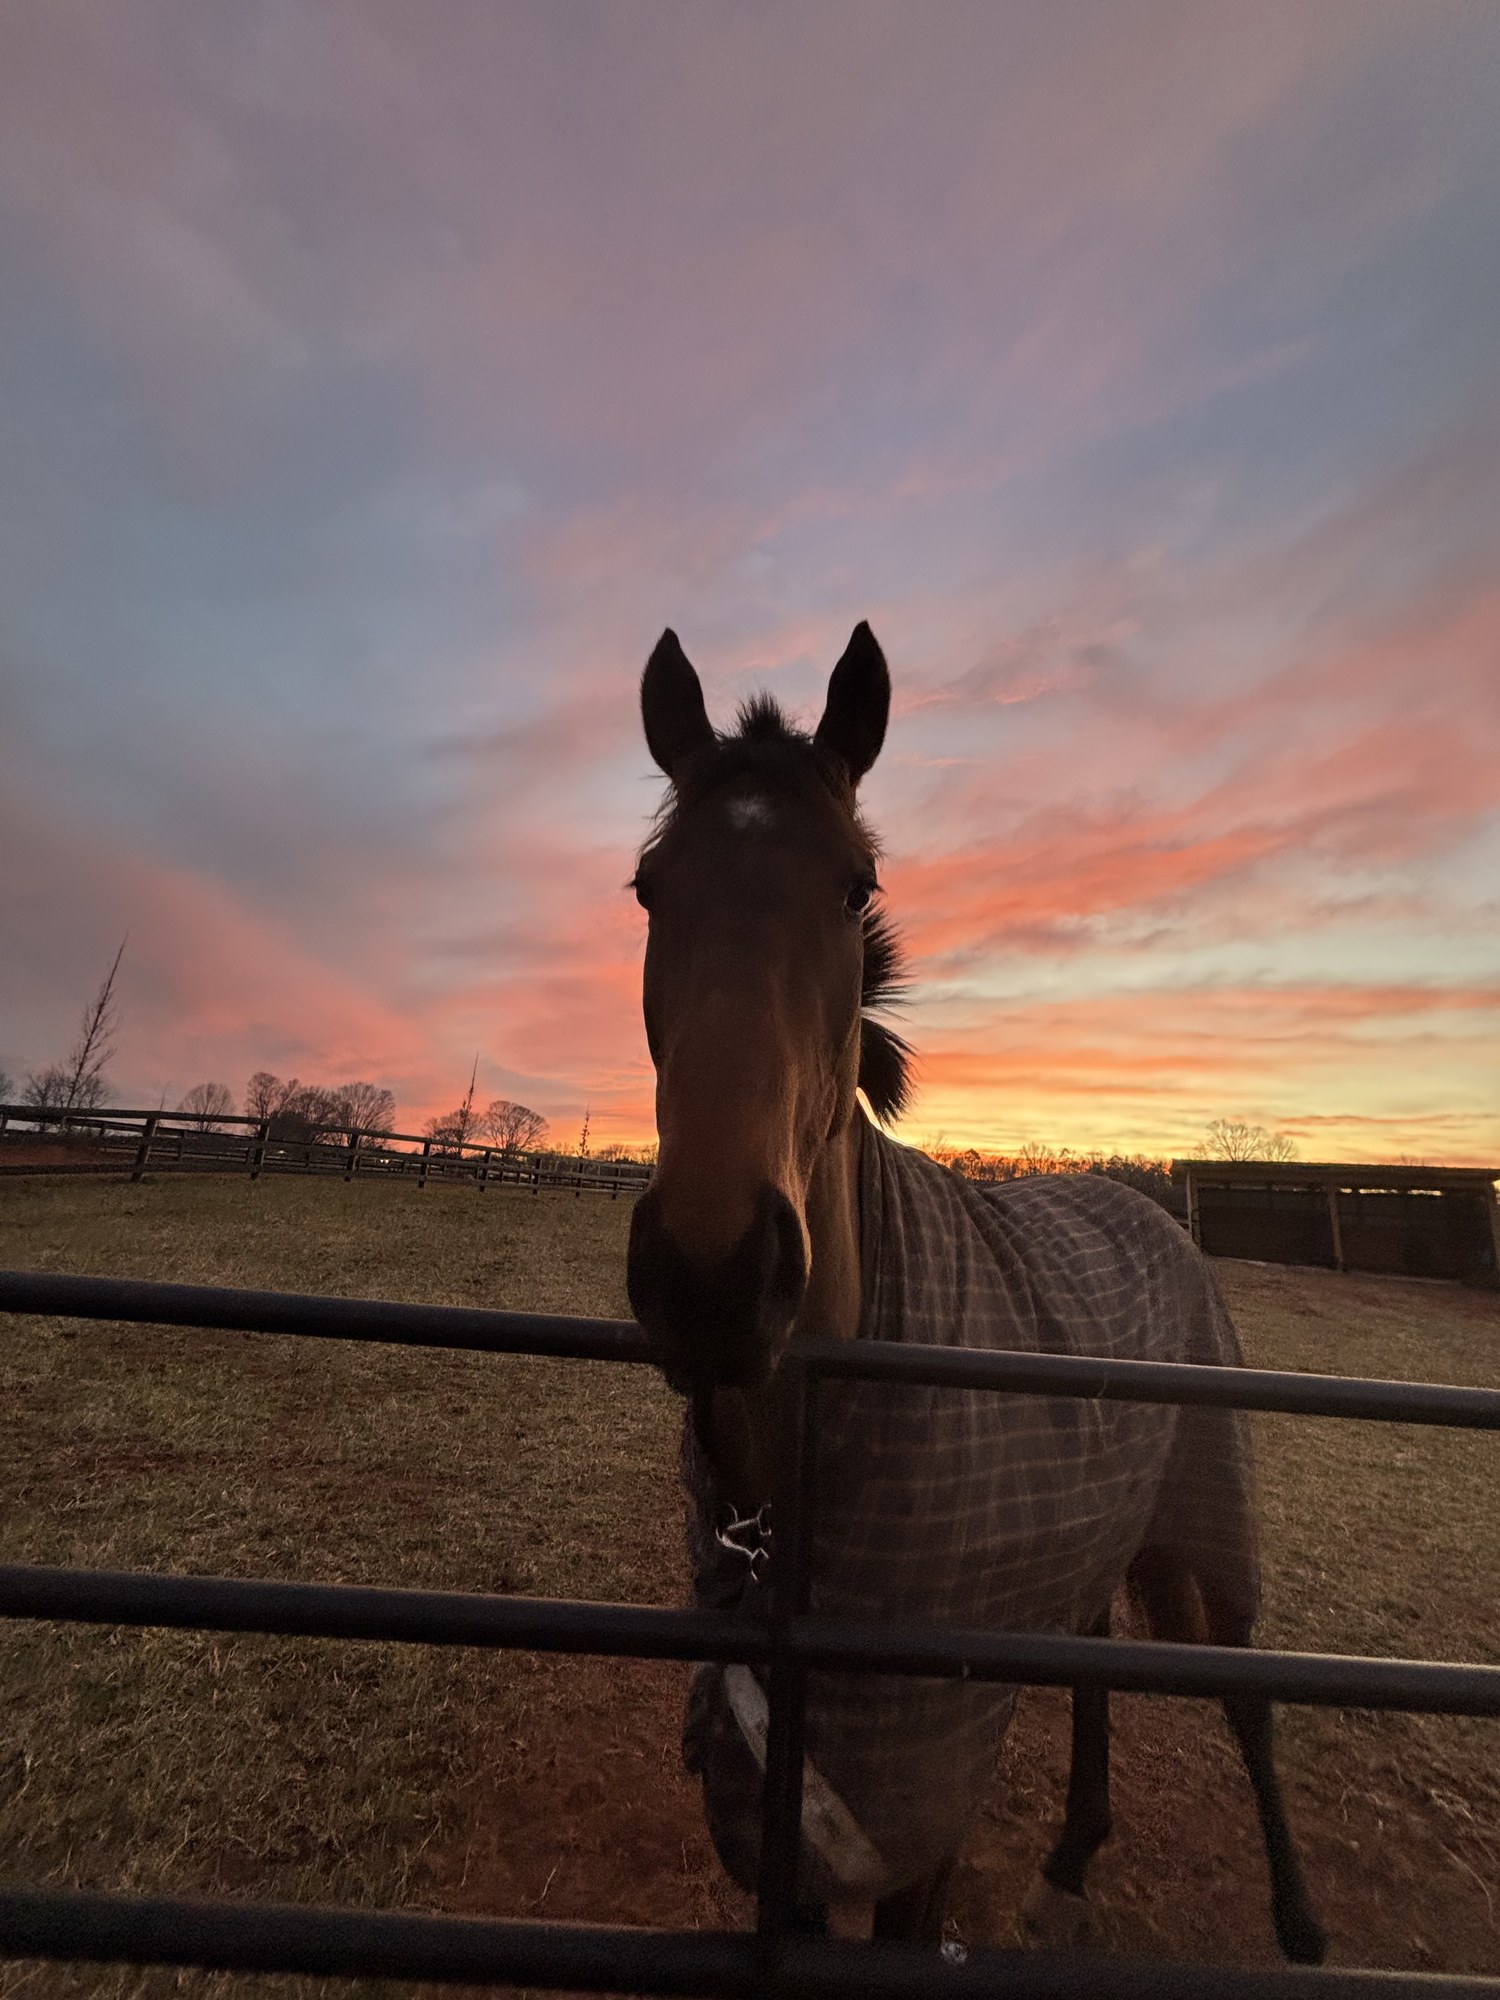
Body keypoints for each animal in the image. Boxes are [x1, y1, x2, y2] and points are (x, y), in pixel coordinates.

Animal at [625, 620, 1326, 1962]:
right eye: (647, 887)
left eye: (855, 885)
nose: (713, 1272)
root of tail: (1146, 1206)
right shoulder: (786, 1805)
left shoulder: (922, 1804)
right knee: (1097, 1654)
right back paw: (1068, 1862)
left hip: (1207, 1535)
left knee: (1252, 1701)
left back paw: (1302, 1925)